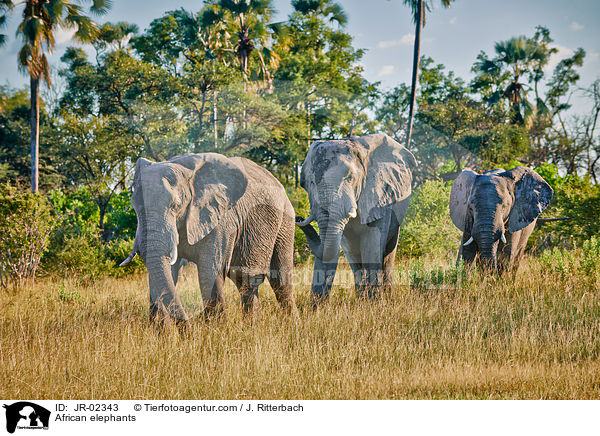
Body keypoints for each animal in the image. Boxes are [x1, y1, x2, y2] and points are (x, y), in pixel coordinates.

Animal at [120, 153, 298, 324]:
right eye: (134, 206)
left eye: (176, 205)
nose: (188, 326)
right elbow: (166, 272)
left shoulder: (221, 220)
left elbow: (210, 271)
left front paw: (215, 331)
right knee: (245, 281)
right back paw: (252, 327)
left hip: (286, 220)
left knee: (280, 281)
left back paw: (292, 325)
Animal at [296, 133, 418, 304]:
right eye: (310, 182)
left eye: (350, 178)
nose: (299, 218)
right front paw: (317, 307)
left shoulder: (380, 195)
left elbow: (372, 243)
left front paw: (375, 305)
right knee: (354, 258)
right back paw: (361, 299)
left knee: (387, 256)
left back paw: (386, 298)